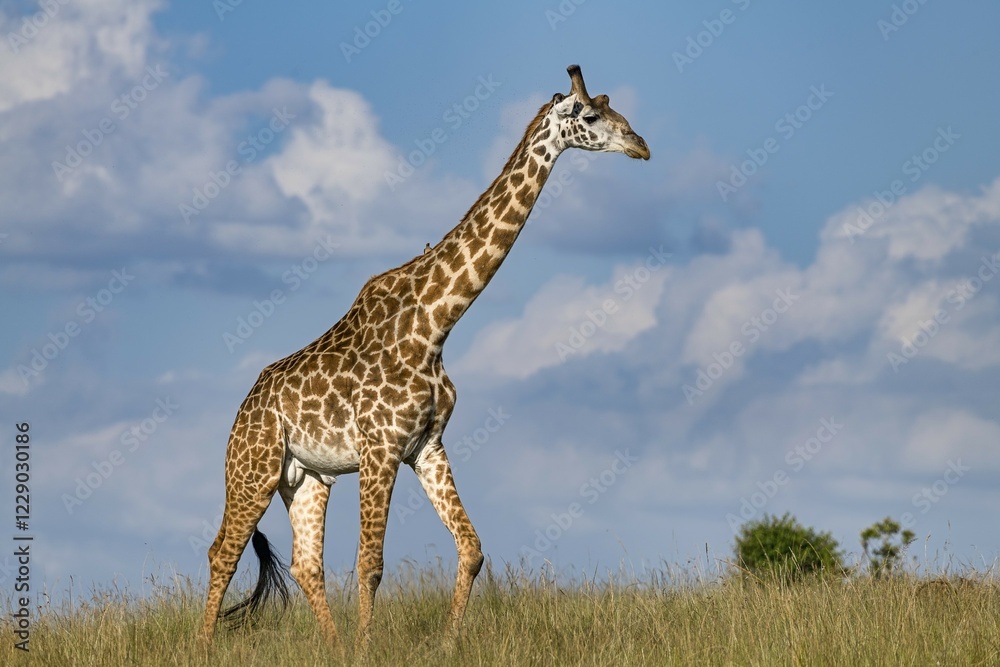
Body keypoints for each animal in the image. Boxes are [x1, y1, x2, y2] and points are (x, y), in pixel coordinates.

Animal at [198, 64, 650, 652]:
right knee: (222, 552)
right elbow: (370, 563)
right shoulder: (381, 448)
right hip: (253, 469)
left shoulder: (426, 446)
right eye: (592, 116)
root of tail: (242, 411)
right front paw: (366, 651)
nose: (641, 145)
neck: (436, 325)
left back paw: (331, 645)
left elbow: (471, 549)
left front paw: (446, 643)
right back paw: (204, 646)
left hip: (306, 477)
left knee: (304, 564)